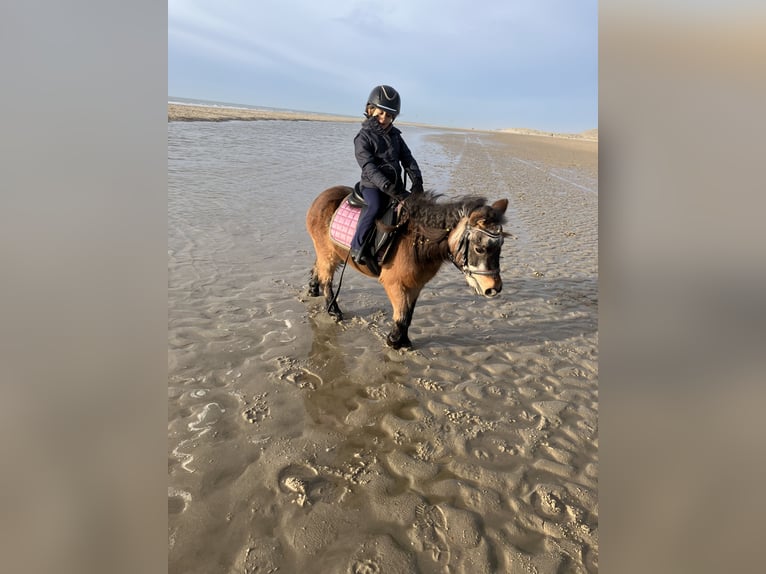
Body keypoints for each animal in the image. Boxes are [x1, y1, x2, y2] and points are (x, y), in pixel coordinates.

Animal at [306, 188, 510, 352]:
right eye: (480, 249)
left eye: (500, 246)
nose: (494, 288)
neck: (417, 242)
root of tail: (322, 196)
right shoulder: (393, 283)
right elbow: (402, 315)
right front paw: (393, 341)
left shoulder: (416, 284)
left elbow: (408, 314)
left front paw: (403, 340)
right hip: (328, 253)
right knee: (327, 279)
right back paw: (333, 309)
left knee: (318, 268)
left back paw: (312, 288)